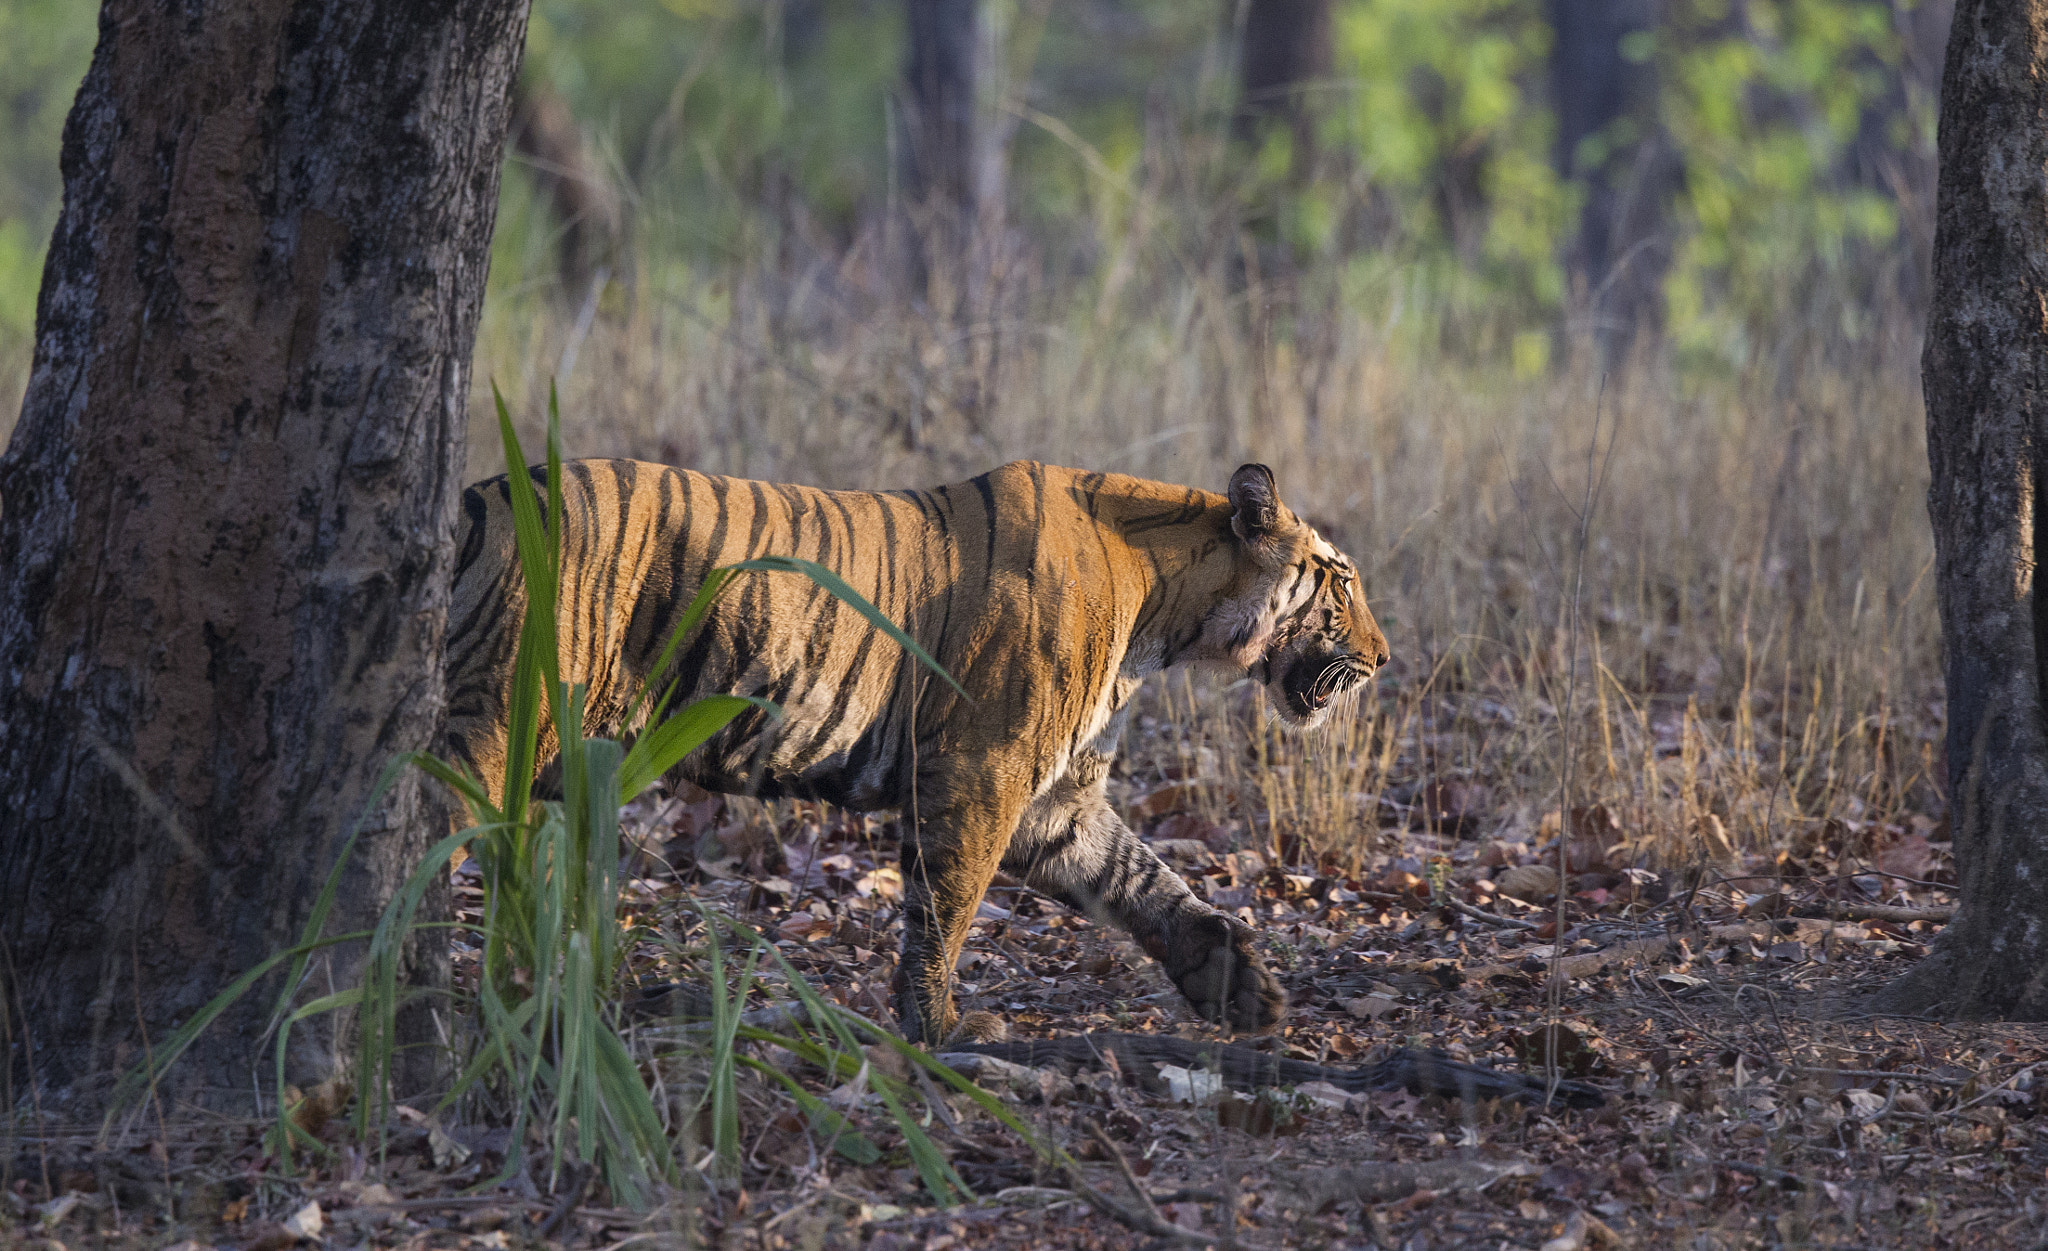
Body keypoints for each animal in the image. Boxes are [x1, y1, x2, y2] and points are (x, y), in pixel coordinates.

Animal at [446, 460, 1392, 1048]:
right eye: (1342, 581)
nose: (1384, 658)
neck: (1171, 614)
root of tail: (479, 494)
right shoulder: (985, 767)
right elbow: (946, 907)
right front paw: (939, 1028)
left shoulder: (1057, 801)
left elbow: (1143, 879)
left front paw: (1240, 984)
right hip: (501, 717)